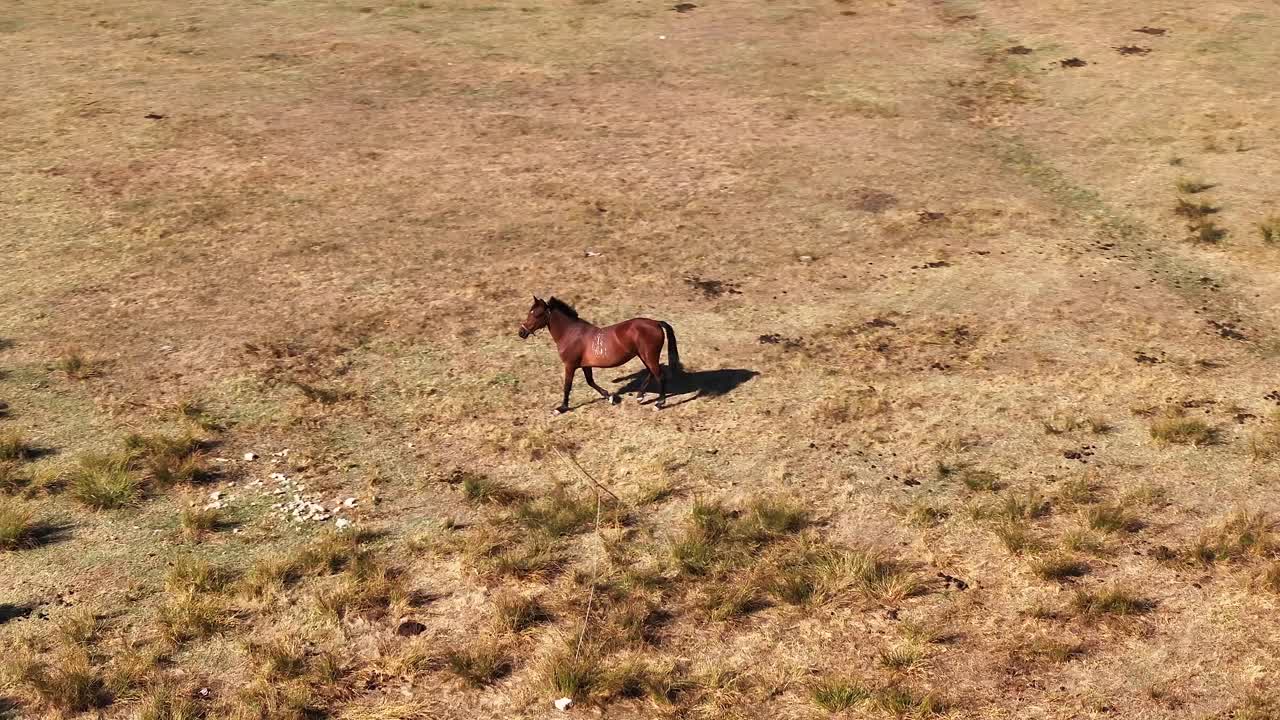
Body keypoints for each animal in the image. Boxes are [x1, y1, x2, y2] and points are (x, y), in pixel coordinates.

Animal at [517, 296, 680, 414]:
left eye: (537, 314)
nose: (521, 332)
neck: (570, 333)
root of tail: (656, 323)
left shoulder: (570, 365)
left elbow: (567, 386)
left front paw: (561, 408)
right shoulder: (585, 365)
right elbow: (590, 382)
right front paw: (611, 398)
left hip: (648, 355)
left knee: (659, 375)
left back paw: (659, 404)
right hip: (644, 355)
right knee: (652, 372)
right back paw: (640, 396)